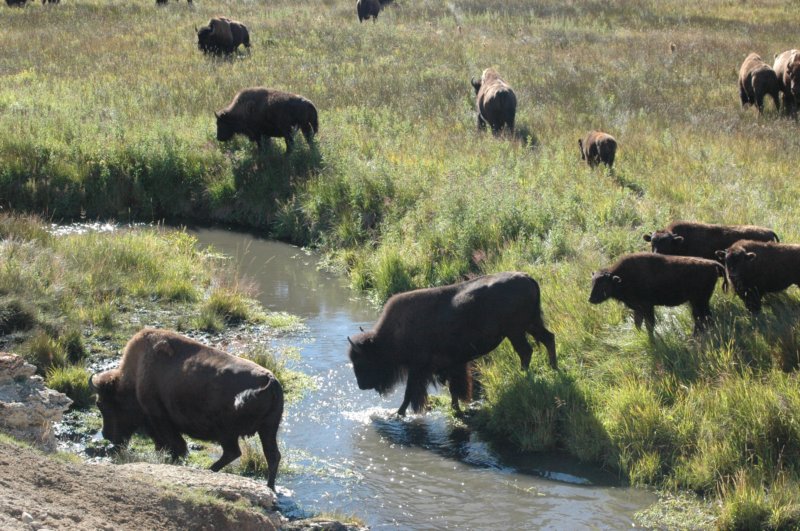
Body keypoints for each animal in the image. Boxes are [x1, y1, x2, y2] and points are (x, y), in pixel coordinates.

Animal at [89, 328, 283, 490]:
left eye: (102, 404)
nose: (107, 435)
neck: (135, 376)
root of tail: (270, 380)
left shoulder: (160, 419)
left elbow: (176, 446)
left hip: (229, 432)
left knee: (234, 452)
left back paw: (210, 470)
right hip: (267, 429)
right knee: (271, 456)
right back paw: (270, 487)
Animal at [347, 272, 557, 416]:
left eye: (361, 360)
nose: (361, 385)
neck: (389, 337)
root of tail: (527, 277)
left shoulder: (418, 369)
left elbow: (410, 393)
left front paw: (398, 413)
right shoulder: (451, 364)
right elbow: (454, 387)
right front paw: (456, 408)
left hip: (515, 331)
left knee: (526, 351)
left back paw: (525, 376)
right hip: (531, 324)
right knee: (548, 338)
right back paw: (554, 369)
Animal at [590, 253, 726, 335]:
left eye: (603, 284)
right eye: (592, 282)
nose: (591, 299)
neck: (622, 278)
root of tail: (712, 264)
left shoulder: (647, 307)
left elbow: (649, 324)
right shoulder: (638, 309)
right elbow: (638, 323)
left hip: (699, 300)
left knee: (702, 318)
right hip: (698, 301)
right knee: (702, 317)